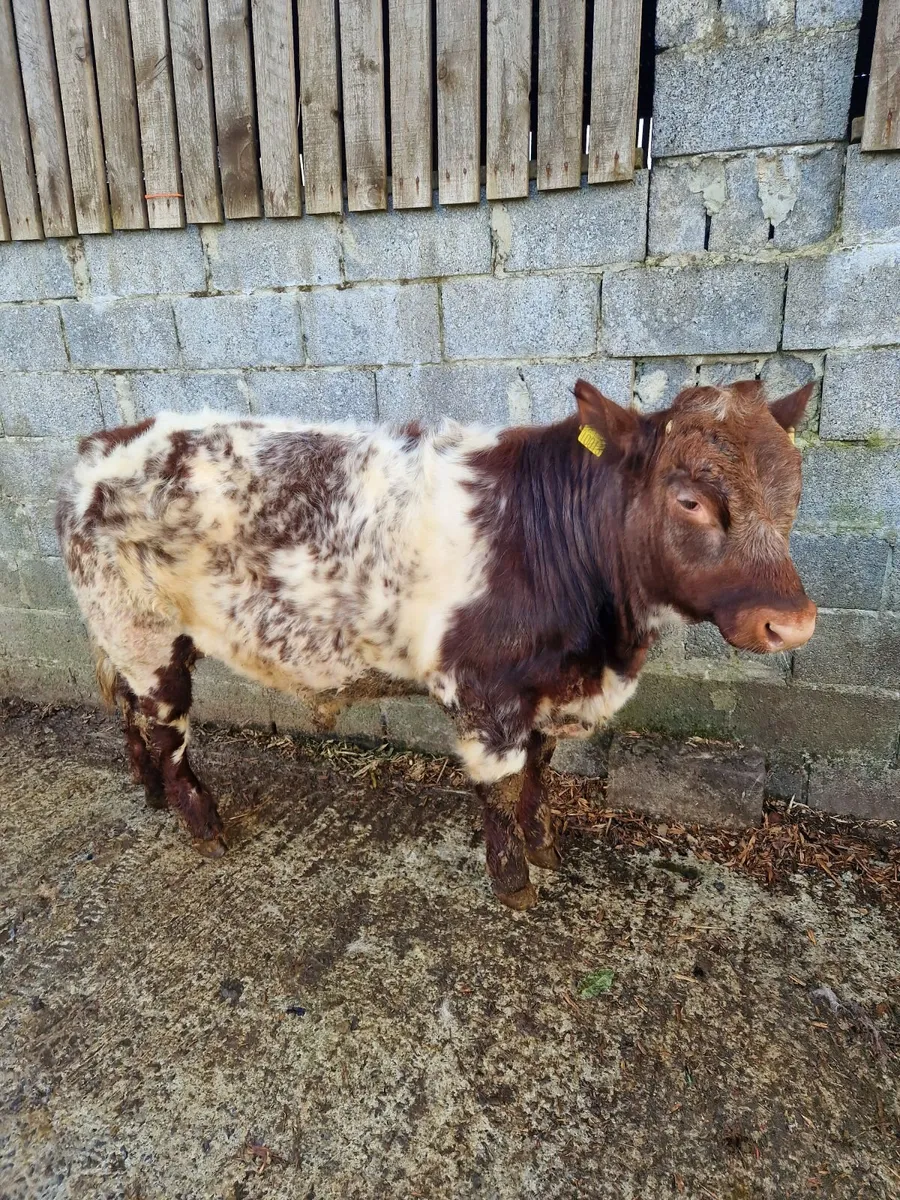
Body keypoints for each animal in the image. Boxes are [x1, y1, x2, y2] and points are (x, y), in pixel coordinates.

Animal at [57, 379, 817, 909]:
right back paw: (200, 821)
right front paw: (513, 880)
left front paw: (544, 848)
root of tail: (100, 447)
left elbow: (540, 773)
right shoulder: (485, 692)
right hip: (144, 635)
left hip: (132, 638)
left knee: (131, 716)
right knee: (167, 730)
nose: (792, 624)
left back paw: (151, 795)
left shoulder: (547, 693)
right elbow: (499, 788)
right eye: (690, 500)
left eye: (795, 488)